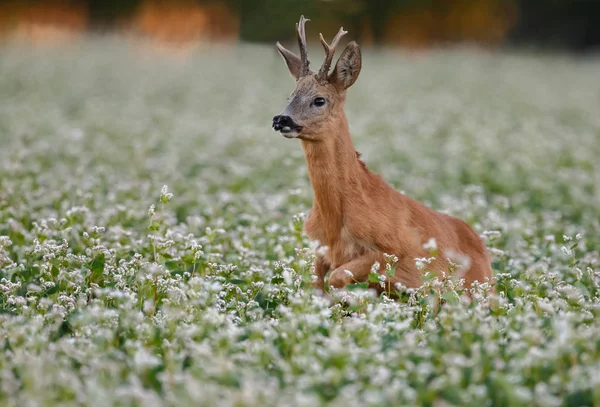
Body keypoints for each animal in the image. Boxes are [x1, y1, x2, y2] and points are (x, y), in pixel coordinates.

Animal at [270, 15, 492, 294]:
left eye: (319, 100)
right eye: (291, 96)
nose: (281, 119)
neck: (336, 224)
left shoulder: (392, 251)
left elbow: (338, 277)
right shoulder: (320, 251)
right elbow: (316, 286)